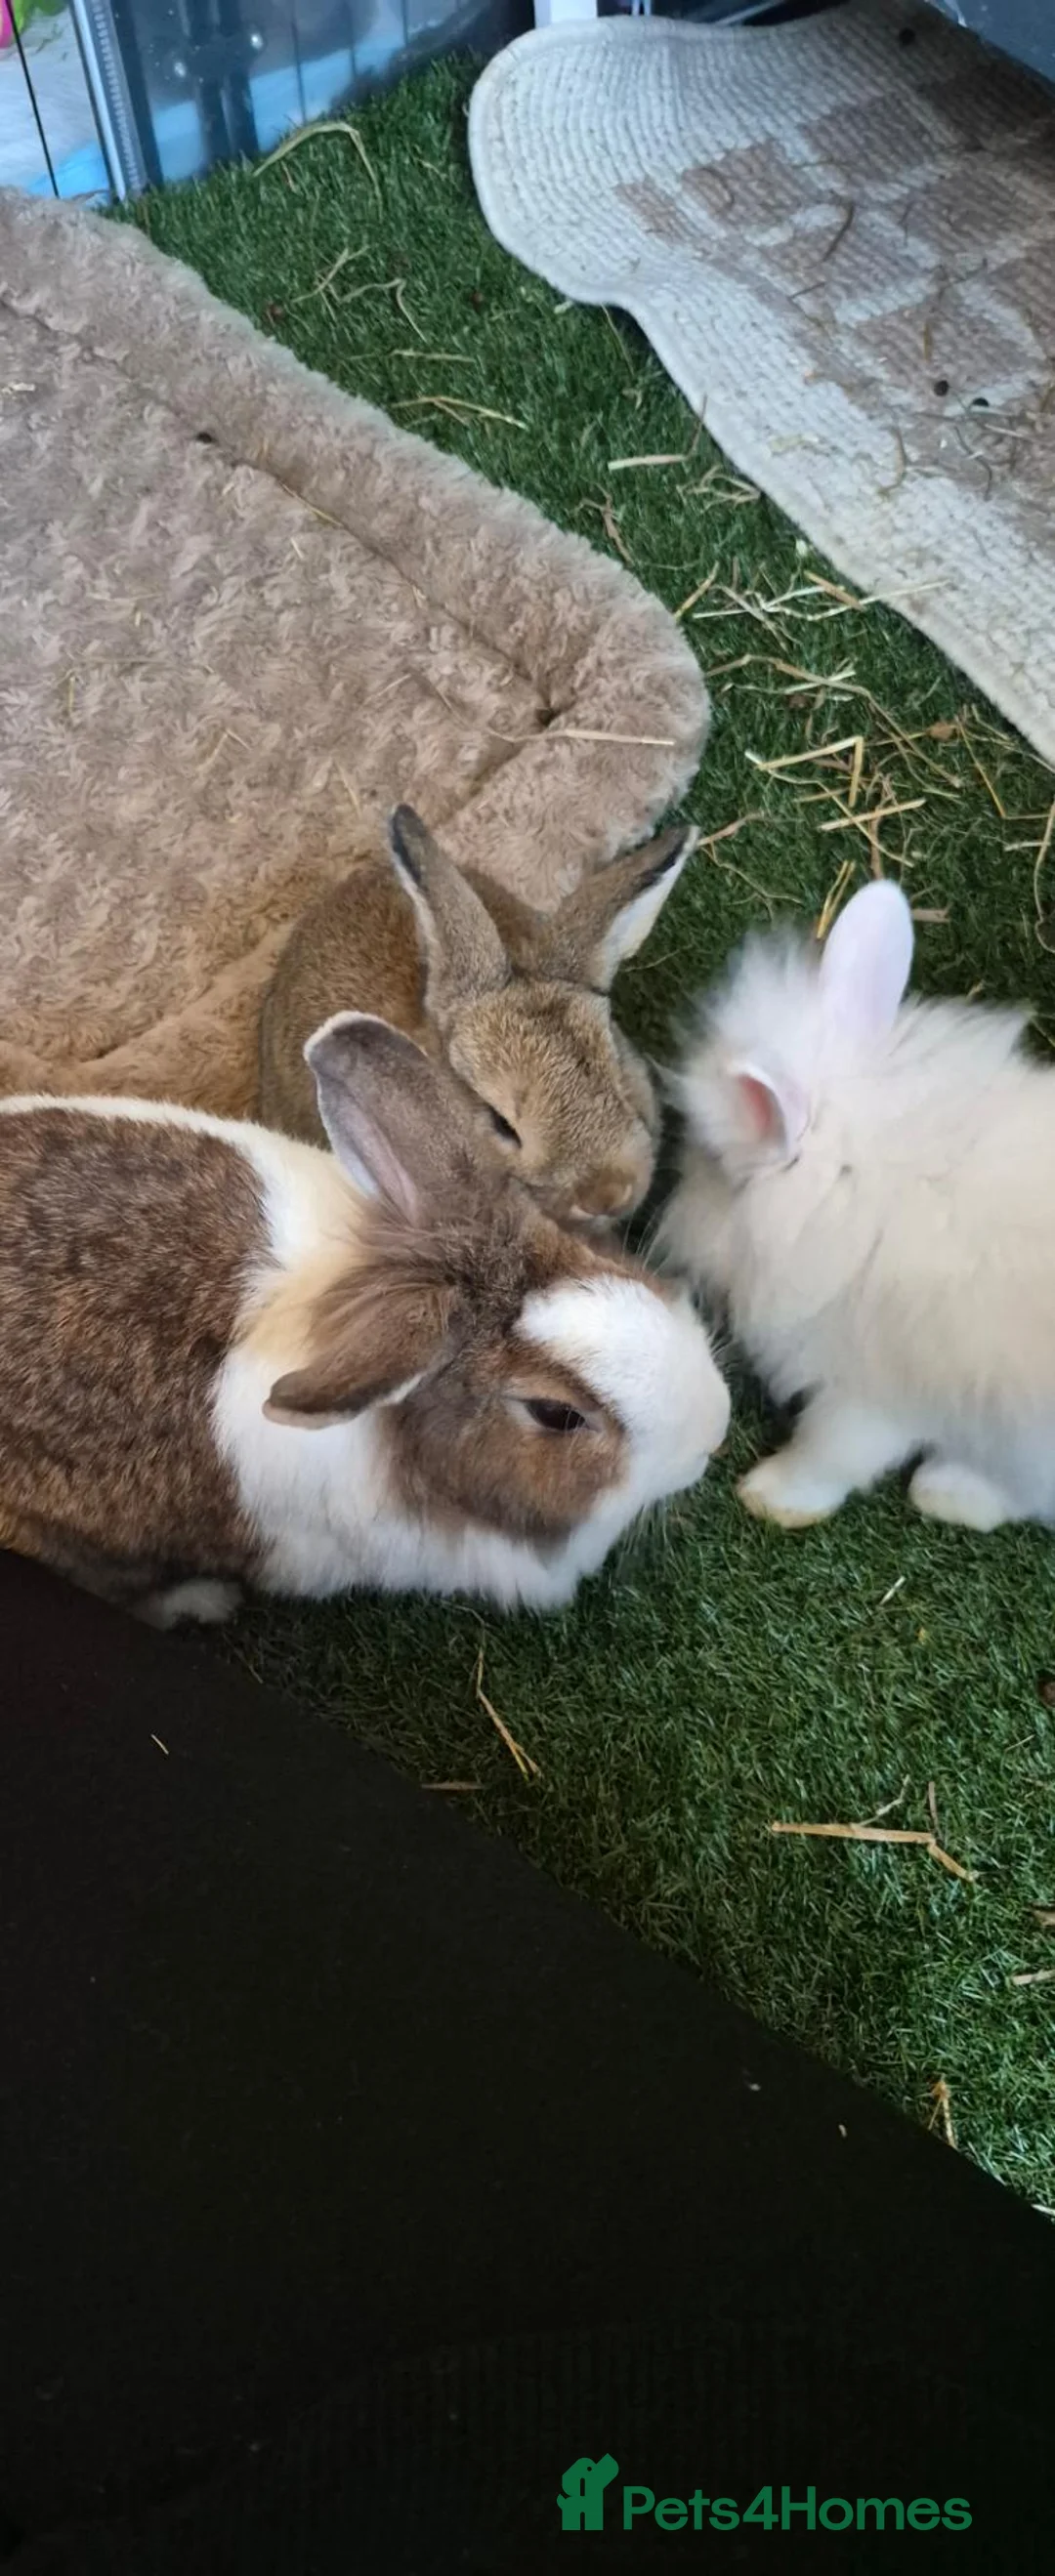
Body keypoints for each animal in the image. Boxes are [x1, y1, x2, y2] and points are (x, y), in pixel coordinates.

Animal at [661, 873, 1055, 1535]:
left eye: (714, 1166)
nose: (674, 1207)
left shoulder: (866, 1395)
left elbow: (830, 1454)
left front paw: (769, 1496)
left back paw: (945, 1491)